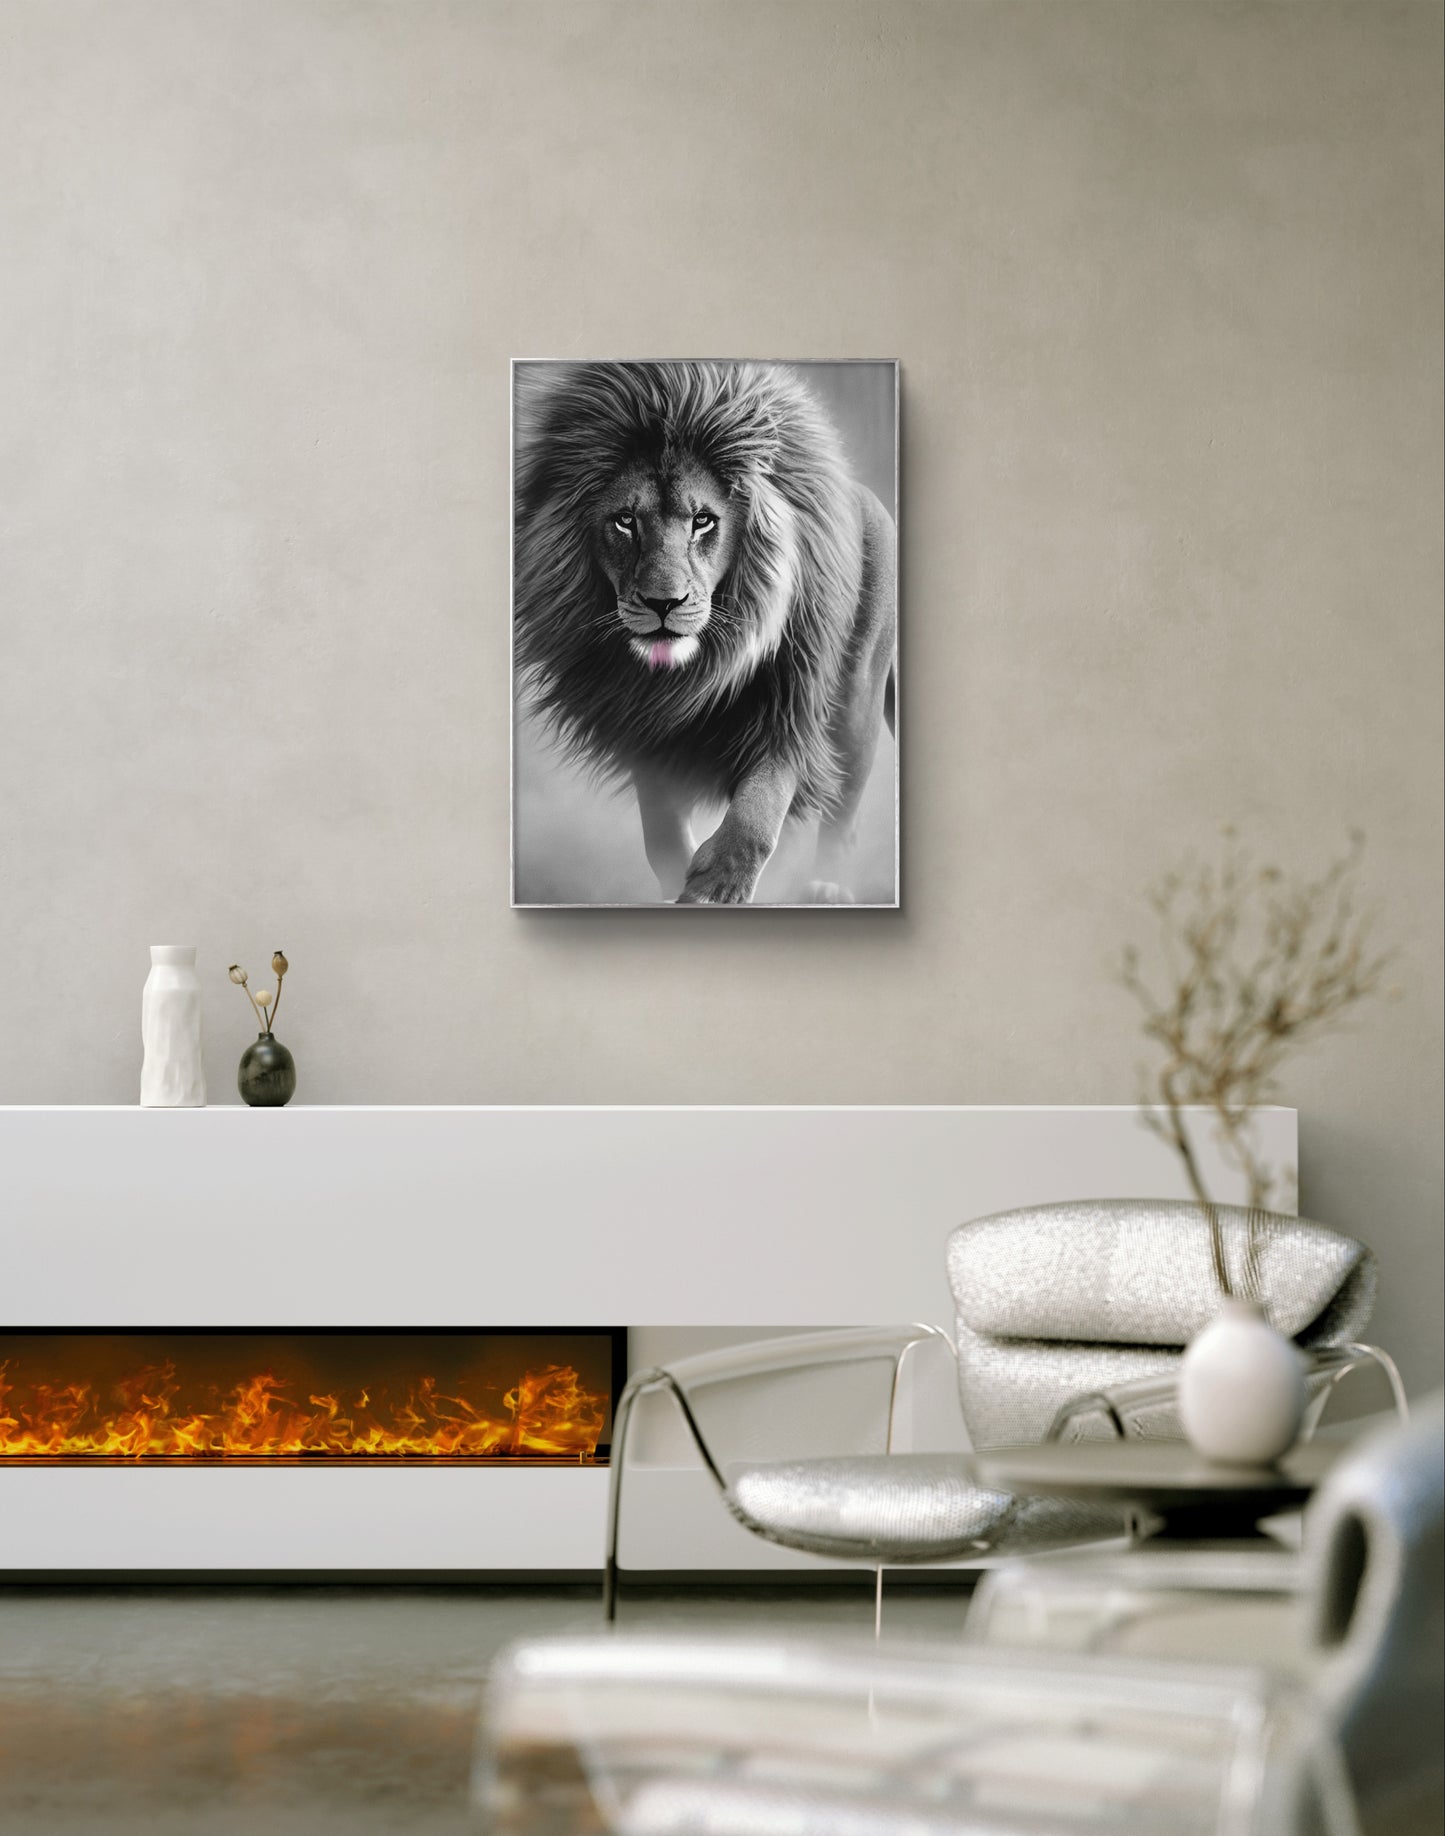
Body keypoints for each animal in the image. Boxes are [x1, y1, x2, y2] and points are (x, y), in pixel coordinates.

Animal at [513, 361, 896, 905]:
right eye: (625, 521)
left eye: (702, 521)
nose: (663, 603)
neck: (694, 671)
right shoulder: (639, 723)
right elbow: (660, 829)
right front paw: (680, 876)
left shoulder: (789, 704)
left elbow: (760, 807)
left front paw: (718, 886)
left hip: (858, 705)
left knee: (844, 809)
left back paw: (829, 885)